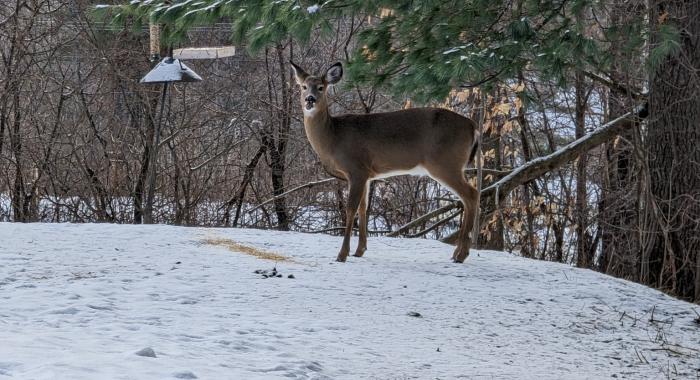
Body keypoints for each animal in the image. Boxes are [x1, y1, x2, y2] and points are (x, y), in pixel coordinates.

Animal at [290, 61, 482, 264]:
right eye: (303, 86)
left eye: (321, 87)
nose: (310, 99)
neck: (333, 137)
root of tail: (473, 127)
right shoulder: (367, 175)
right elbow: (363, 209)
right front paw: (359, 250)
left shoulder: (356, 168)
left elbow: (351, 209)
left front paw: (342, 254)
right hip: (450, 166)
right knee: (467, 198)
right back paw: (457, 253)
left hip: (445, 164)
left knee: (471, 194)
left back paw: (461, 255)